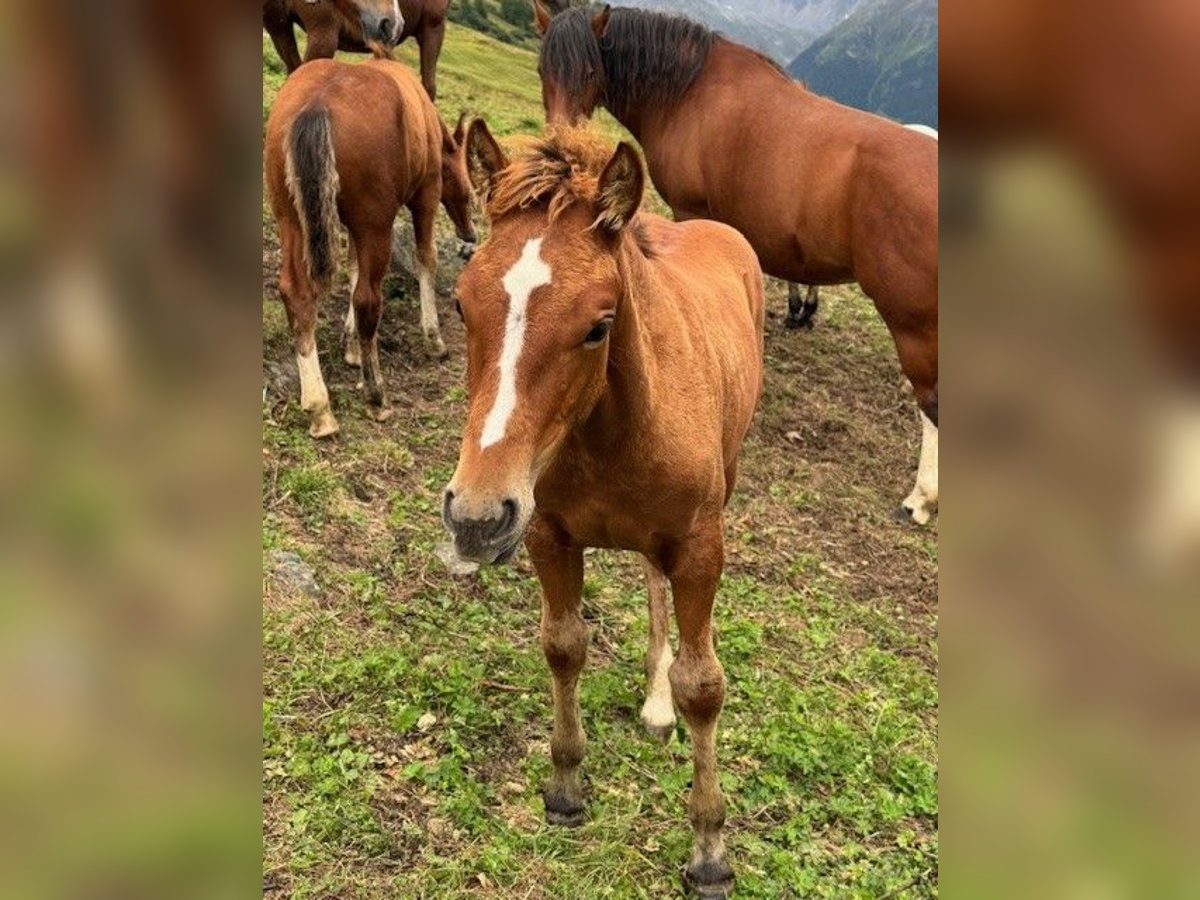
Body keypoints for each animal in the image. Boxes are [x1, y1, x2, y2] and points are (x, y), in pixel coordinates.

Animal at [265, 56, 475, 436]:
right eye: (467, 190)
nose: (470, 233)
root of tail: (317, 104)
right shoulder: (425, 197)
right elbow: (426, 259)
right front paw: (433, 338)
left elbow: (351, 269)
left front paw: (350, 347)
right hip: (376, 226)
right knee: (368, 298)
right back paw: (376, 395)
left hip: (291, 219)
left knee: (297, 293)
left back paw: (319, 405)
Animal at [441, 123, 758, 897]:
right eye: (460, 304)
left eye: (598, 325)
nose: (475, 517)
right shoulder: (547, 534)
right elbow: (563, 645)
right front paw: (565, 786)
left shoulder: (700, 546)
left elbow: (705, 685)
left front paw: (710, 848)